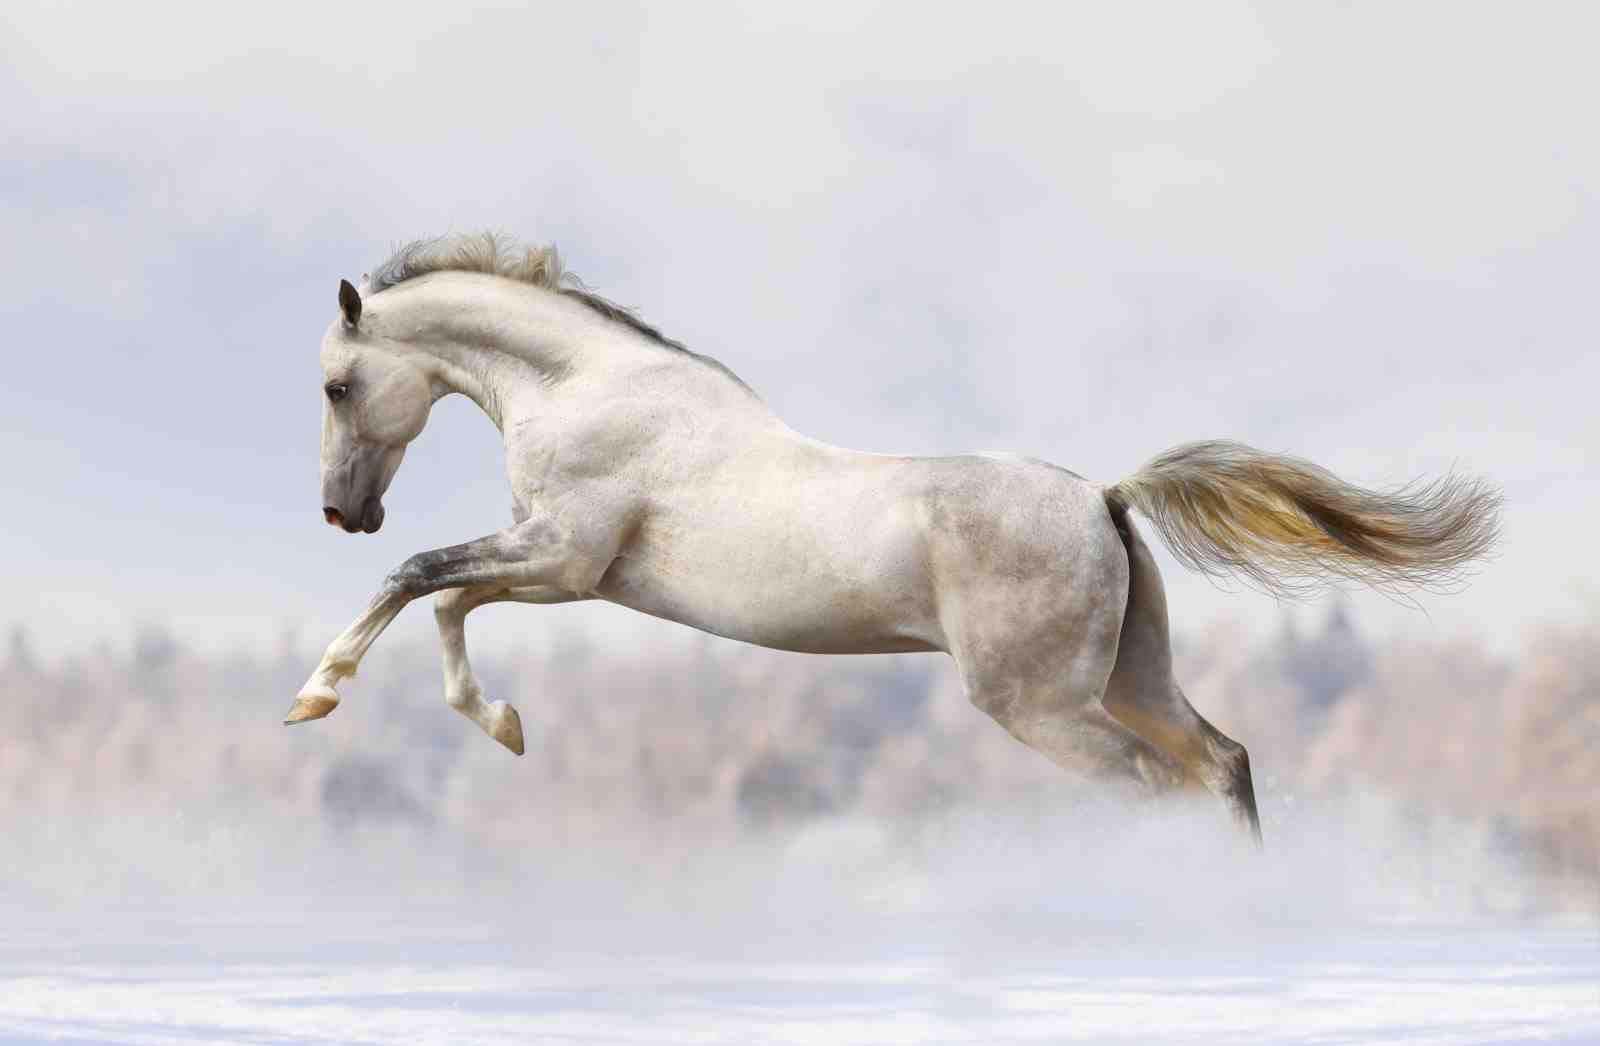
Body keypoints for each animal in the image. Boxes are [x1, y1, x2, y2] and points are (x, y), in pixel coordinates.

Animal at [287, 233, 1501, 841]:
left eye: (339, 385)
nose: (344, 511)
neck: (588, 387)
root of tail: (1104, 498)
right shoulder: (562, 569)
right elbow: (447, 598)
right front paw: (503, 726)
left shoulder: (564, 556)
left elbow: (417, 578)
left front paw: (315, 695)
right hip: (1131, 677)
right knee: (1220, 762)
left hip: (1040, 705)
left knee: (1154, 784)